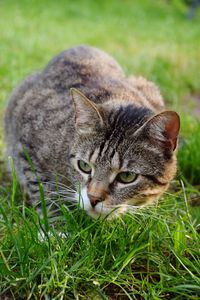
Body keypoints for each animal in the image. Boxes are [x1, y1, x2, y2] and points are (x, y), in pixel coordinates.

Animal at [4, 45, 180, 218]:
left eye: (127, 176)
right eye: (84, 166)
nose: (93, 198)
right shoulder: (25, 144)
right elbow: (44, 193)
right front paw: (56, 225)